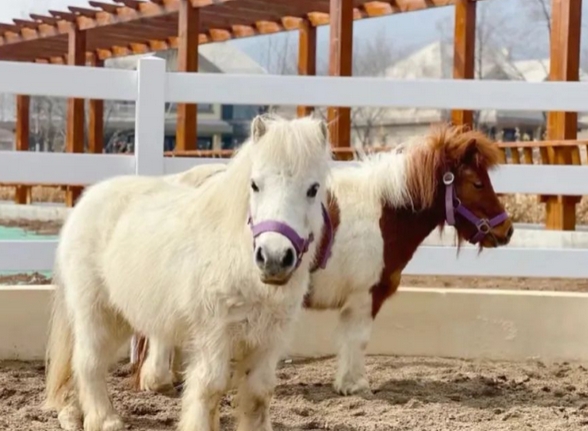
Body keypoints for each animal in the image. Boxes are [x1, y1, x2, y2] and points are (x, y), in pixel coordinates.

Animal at [43, 115, 334, 431]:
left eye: (313, 189)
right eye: (255, 185)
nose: (274, 258)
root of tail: (88, 199)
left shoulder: (268, 339)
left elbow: (258, 393)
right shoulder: (214, 335)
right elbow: (210, 388)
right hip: (98, 313)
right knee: (88, 362)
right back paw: (103, 419)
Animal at [132, 123, 510, 396]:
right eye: (477, 183)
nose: (506, 230)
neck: (383, 214)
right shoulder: (364, 297)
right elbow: (357, 340)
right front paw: (354, 385)